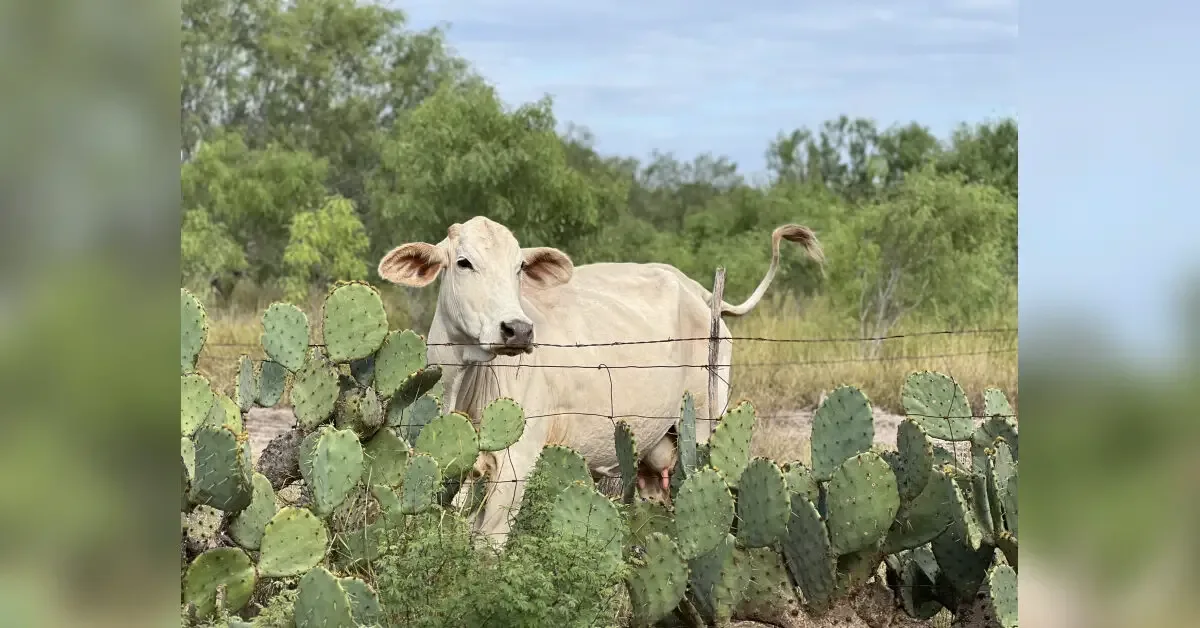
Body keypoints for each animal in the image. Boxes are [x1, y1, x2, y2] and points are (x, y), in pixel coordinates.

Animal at [376, 216, 823, 545]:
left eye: (520, 267)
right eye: (464, 262)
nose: (518, 329)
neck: (465, 384)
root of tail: (699, 291)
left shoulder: (517, 462)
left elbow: (488, 543)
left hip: (704, 422)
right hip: (655, 447)